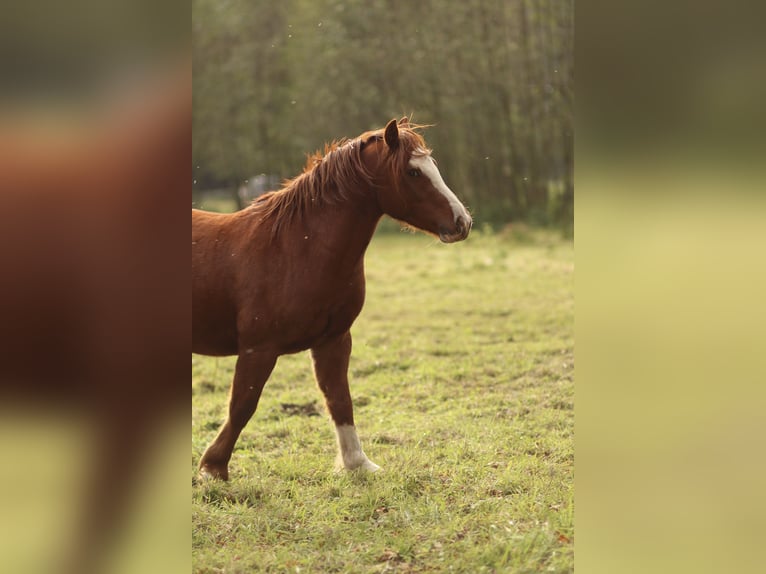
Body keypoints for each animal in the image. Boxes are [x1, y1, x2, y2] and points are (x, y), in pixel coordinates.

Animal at [192, 117, 472, 480]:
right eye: (413, 172)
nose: (462, 222)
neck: (296, 248)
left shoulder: (333, 340)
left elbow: (339, 399)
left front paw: (357, 463)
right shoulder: (258, 349)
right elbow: (242, 405)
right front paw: (213, 468)